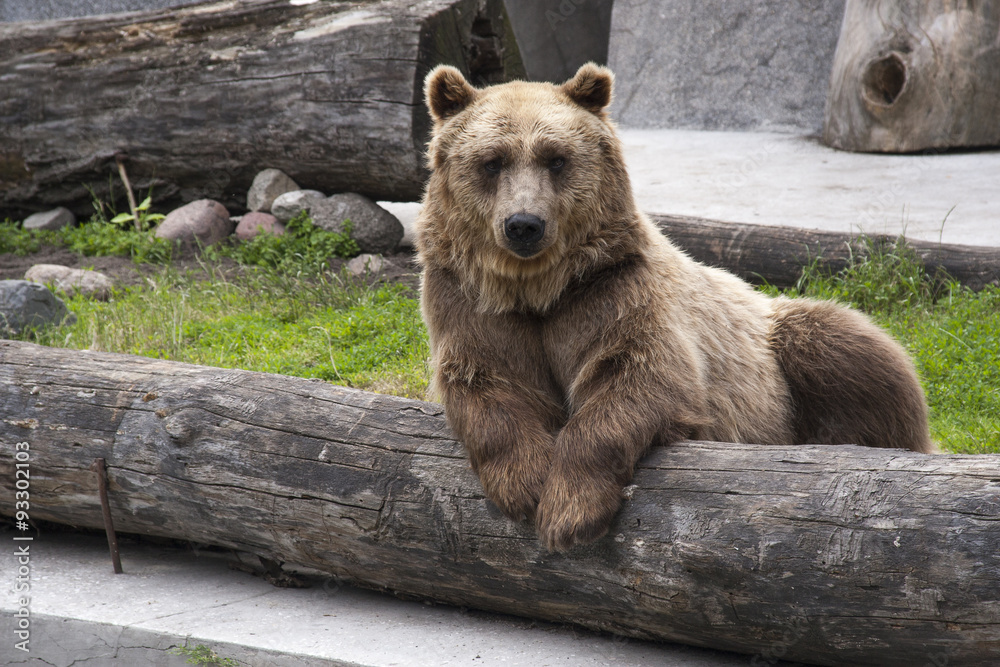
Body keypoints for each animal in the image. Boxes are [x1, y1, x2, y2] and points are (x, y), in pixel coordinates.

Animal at [414, 63, 935, 552]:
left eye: (556, 159)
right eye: (492, 161)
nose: (524, 224)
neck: (541, 288)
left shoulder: (610, 290)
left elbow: (641, 378)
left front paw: (570, 511)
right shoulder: (472, 300)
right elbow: (488, 381)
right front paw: (523, 483)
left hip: (776, 343)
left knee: (845, 350)